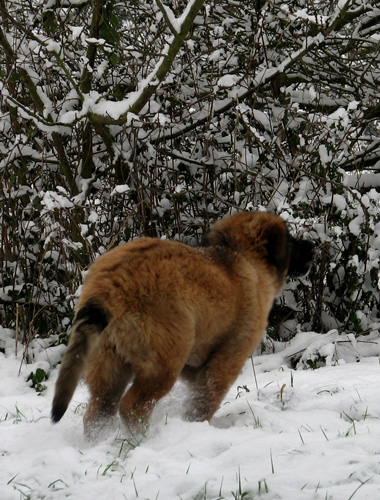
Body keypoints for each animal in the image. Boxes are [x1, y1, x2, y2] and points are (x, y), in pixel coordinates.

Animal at [50, 211, 314, 438]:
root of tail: (111, 282)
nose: (312, 246)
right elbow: (205, 400)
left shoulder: (195, 362)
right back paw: (142, 438)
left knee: (98, 412)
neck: (244, 256)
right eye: (291, 241)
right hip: (164, 362)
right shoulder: (228, 357)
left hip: (108, 362)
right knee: (133, 406)